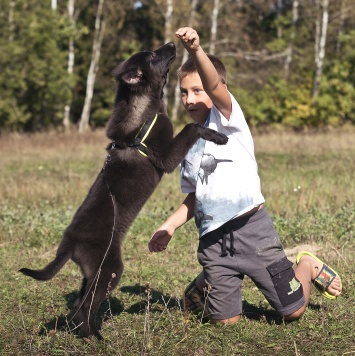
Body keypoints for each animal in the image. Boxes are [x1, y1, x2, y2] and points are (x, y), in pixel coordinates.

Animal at [18, 41, 228, 340]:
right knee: (86, 306)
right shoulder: (165, 157)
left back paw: (88, 333)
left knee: (81, 303)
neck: (144, 110)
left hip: (92, 274)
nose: (172, 43)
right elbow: (191, 127)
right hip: (110, 269)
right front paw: (218, 136)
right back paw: (96, 338)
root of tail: (69, 243)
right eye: (152, 56)